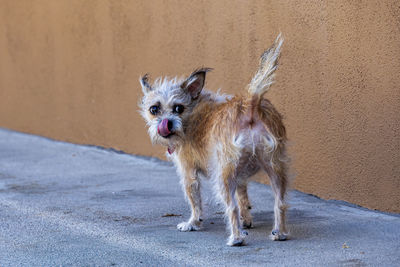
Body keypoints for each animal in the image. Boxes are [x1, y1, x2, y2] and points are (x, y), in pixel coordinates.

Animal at [140, 35, 288, 247]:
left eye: (178, 108)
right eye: (154, 109)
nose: (166, 123)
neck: (193, 113)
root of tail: (249, 104)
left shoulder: (188, 172)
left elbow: (195, 201)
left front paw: (192, 223)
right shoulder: (240, 177)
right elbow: (243, 197)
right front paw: (247, 220)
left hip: (223, 174)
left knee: (231, 207)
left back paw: (236, 238)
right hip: (275, 167)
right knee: (280, 202)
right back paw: (279, 233)